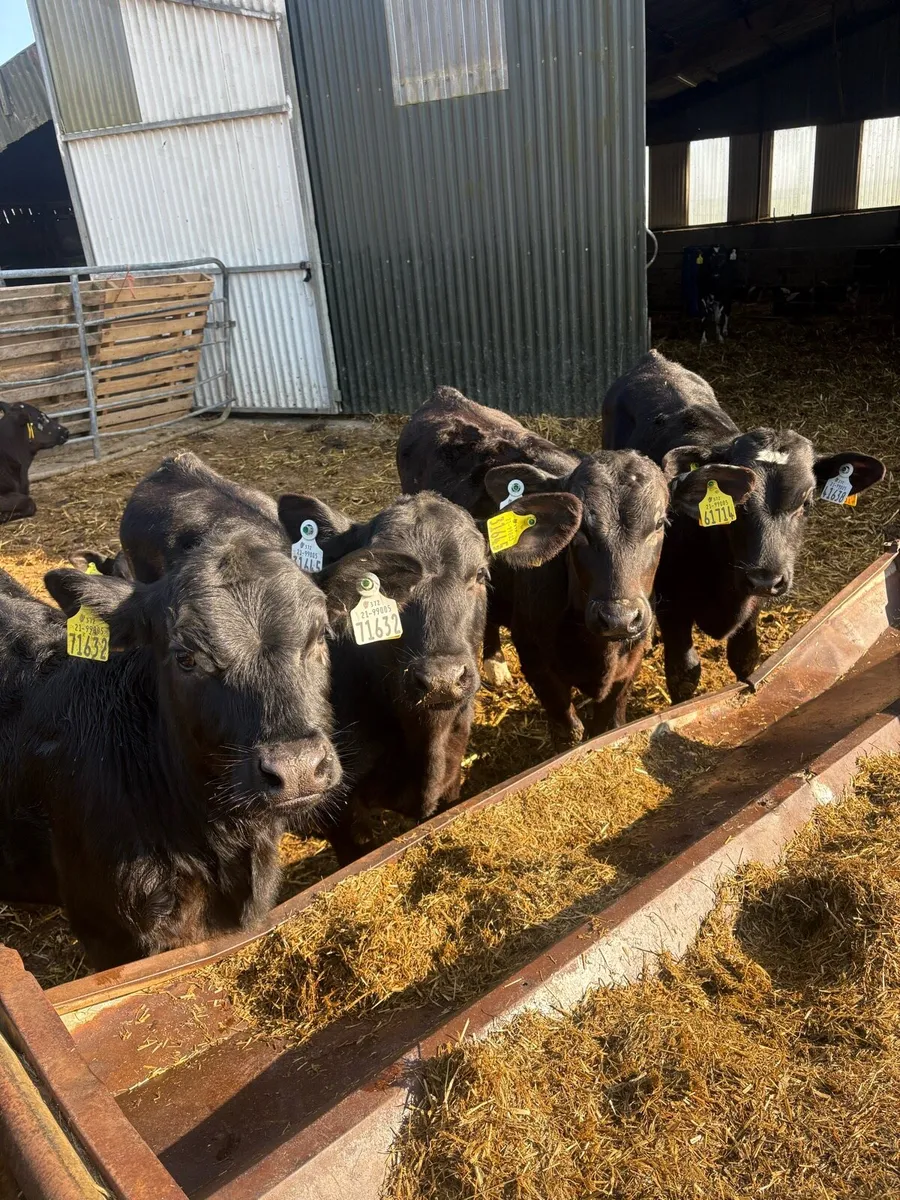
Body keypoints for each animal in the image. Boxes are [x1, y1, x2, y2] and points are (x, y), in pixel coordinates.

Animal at [397, 387, 755, 748]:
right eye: (580, 529)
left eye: (660, 523)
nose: (619, 618)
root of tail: (446, 396)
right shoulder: (537, 663)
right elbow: (569, 732)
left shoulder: (630, 661)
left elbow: (610, 726)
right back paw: (495, 663)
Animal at [602, 350, 886, 702]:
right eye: (736, 501)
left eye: (806, 503)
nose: (764, 578)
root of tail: (654, 358)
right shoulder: (674, 610)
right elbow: (684, 673)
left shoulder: (752, 608)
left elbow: (746, 659)